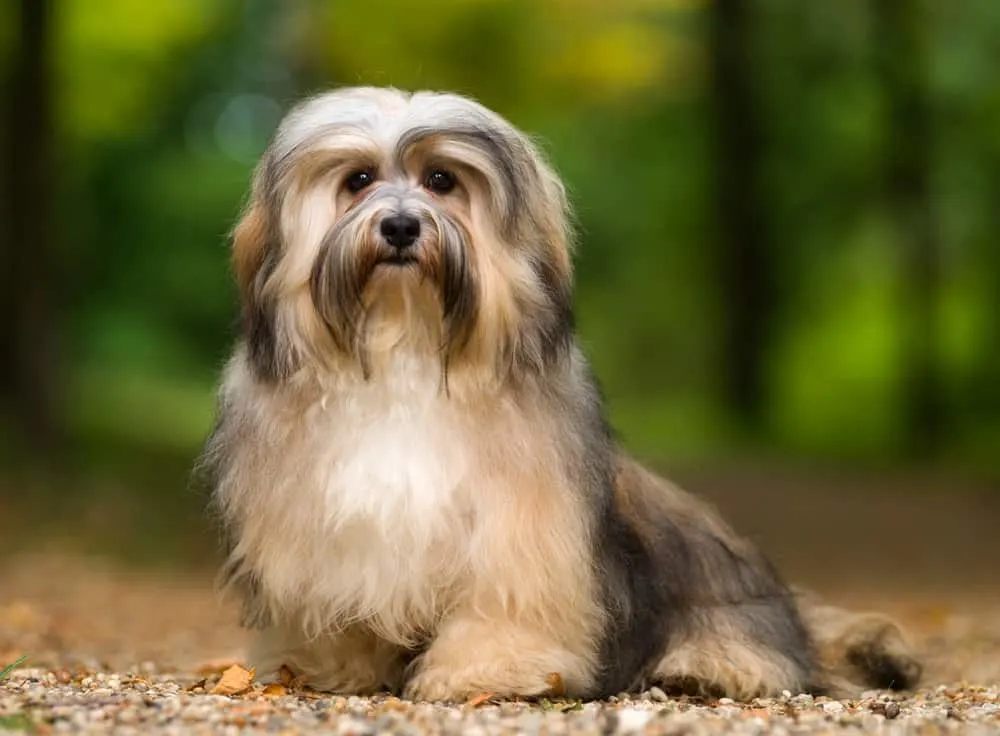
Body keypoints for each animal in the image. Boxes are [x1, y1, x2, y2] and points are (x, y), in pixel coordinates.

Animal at [199, 86, 924, 700]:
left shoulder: (522, 529)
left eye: (442, 180)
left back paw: (705, 667)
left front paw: (487, 671)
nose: (402, 227)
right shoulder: (326, 532)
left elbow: (505, 603)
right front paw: (332, 667)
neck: (406, 348)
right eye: (357, 181)